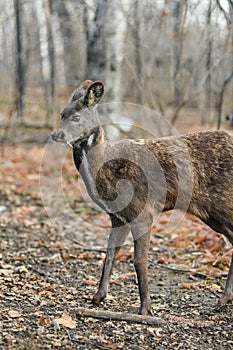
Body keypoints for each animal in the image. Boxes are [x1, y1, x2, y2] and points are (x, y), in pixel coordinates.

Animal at [52, 80, 233, 316]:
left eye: (76, 117)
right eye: (62, 113)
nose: (56, 135)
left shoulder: (143, 211)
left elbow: (139, 260)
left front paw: (145, 308)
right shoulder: (117, 216)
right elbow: (110, 253)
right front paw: (98, 297)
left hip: (223, 202)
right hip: (212, 213)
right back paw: (224, 300)